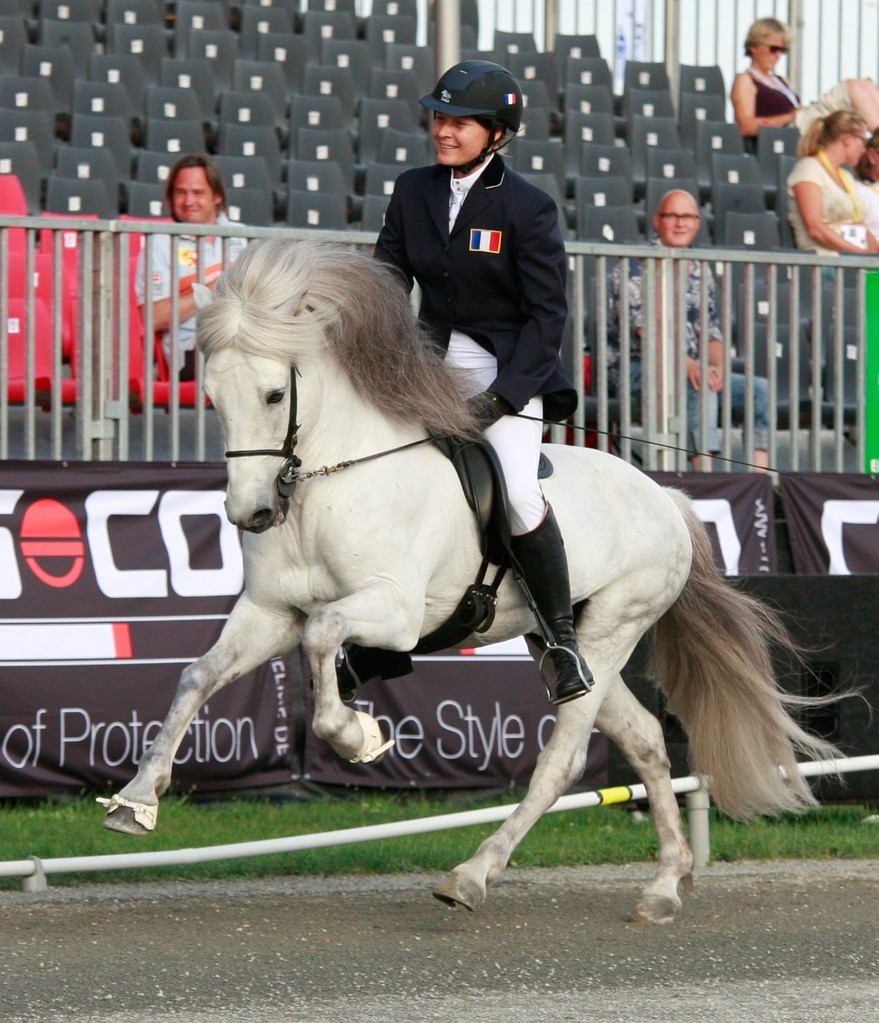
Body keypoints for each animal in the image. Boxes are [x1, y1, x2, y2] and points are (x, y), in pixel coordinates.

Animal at [101, 235, 839, 924]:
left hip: (611, 629)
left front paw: (357, 734)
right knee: (646, 741)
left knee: (563, 760)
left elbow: (322, 635)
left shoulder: (394, 611)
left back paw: (473, 875)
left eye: (274, 393)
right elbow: (198, 676)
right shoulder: (268, 611)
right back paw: (663, 884)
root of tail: (665, 498)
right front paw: (136, 800)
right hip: (563, 637)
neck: (328, 480)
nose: (248, 513)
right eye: (211, 396)